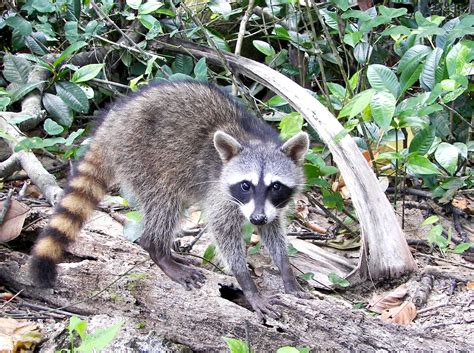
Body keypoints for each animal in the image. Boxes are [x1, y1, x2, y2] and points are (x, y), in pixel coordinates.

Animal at [30, 81, 312, 318]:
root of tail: (112, 123)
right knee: (165, 204)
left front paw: (285, 269)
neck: (256, 141)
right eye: (246, 185)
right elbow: (222, 230)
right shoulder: (220, 191)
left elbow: (273, 229)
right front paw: (247, 283)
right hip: (142, 158)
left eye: (275, 186)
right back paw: (158, 250)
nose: (256, 218)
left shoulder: (270, 206)